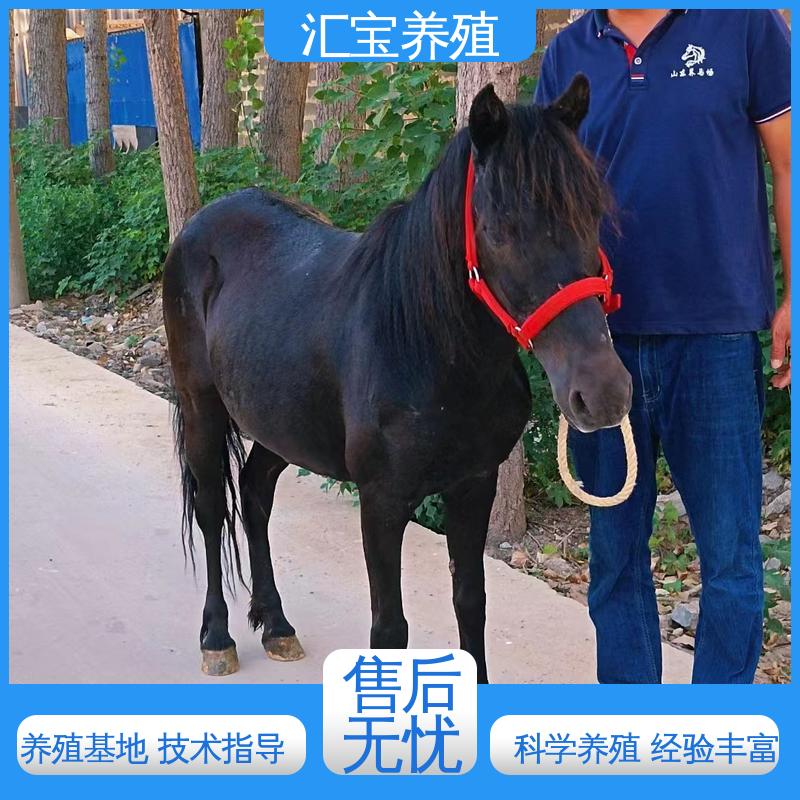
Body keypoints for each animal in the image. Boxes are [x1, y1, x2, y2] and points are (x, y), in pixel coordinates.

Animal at [163, 75, 633, 682]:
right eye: (501, 230)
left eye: (592, 215)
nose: (604, 393)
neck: (427, 350)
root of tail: (200, 224)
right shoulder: (382, 502)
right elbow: (390, 630)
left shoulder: (474, 484)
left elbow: (470, 604)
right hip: (202, 408)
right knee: (213, 510)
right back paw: (217, 638)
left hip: (281, 425)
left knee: (255, 493)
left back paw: (277, 625)